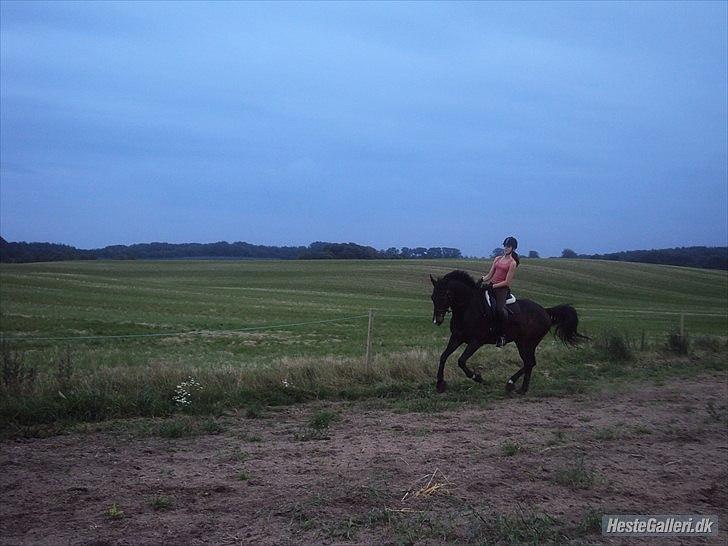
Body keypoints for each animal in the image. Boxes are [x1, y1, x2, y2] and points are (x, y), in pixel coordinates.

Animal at [430, 270, 588, 394]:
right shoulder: (456, 338)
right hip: (521, 342)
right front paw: (440, 384)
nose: (437, 320)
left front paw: (478, 378)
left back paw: (511, 384)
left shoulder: (476, 342)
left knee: (530, 362)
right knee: (529, 363)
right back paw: (522, 389)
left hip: (528, 342)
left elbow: (461, 361)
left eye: (444, 296)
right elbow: (443, 357)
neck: (468, 308)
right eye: (432, 297)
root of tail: (545, 311)